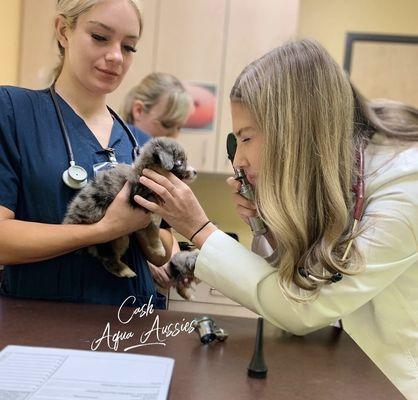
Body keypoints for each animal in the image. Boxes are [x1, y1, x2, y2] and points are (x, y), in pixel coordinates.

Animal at [63, 138, 196, 278]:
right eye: (179, 162)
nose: (195, 172)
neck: (144, 170)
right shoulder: (140, 203)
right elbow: (153, 230)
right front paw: (159, 249)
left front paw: (157, 249)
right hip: (107, 241)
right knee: (108, 259)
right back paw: (125, 271)